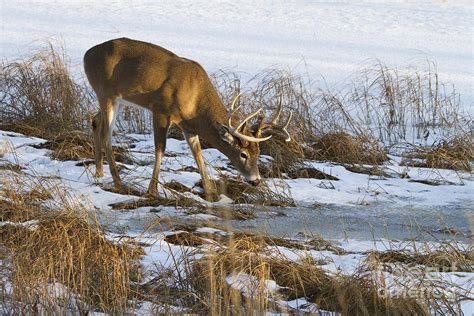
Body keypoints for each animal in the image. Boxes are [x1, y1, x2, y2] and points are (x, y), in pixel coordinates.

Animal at [85, 37, 292, 200]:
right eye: (243, 154)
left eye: (258, 153)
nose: (256, 181)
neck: (195, 99)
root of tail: (86, 54)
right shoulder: (161, 110)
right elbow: (160, 149)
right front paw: (153, 190)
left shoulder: (188, 125)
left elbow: (197, 153)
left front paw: (210, 191)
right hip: (106, 93)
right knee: (106, 134)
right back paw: (118, 181)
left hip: (118, 100)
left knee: (95, 121)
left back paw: (99, 173)